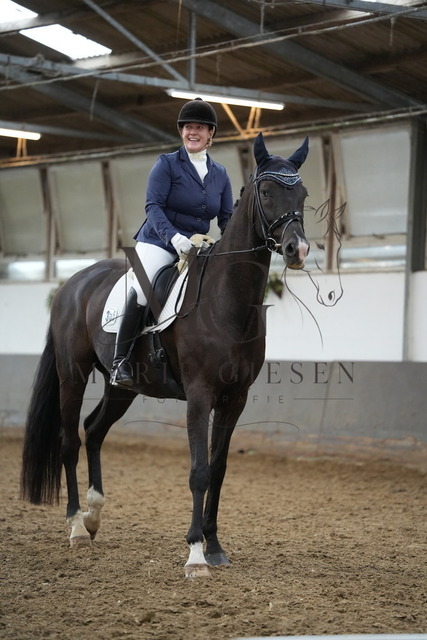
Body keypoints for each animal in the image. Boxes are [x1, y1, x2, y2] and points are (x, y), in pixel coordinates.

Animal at [21, 132, 310, 578]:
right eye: (266, 191)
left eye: (303, 193)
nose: (298, 249)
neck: (226, 302)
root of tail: (72, 283)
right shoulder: (200, 395)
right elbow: (199, 471)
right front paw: (195, 555)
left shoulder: (235, 398)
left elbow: (219, 469)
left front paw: (215, 547)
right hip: (72, 375)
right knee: (70, 439)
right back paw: (76, 527)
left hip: (123, 387)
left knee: (95, 430)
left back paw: (94, 517)